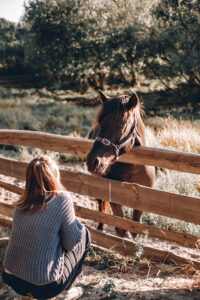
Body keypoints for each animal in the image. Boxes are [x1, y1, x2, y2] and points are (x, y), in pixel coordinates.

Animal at [86, 90, 155, 238]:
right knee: (101, 205)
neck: (133, 168)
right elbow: (121, 230)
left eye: (123, 123)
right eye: (99, 122)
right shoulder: (115, 200)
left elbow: (135, 229)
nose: (93, 161)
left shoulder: (142, 201)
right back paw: (100, 226)